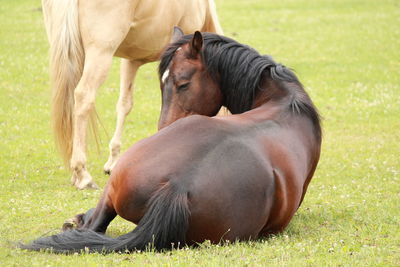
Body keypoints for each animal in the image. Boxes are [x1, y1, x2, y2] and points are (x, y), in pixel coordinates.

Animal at [42, 0, 223, 189]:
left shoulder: (131, 61)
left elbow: (124, 104)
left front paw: (113, 162)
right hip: (100, 54)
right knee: (84, 97)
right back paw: (83, 174)